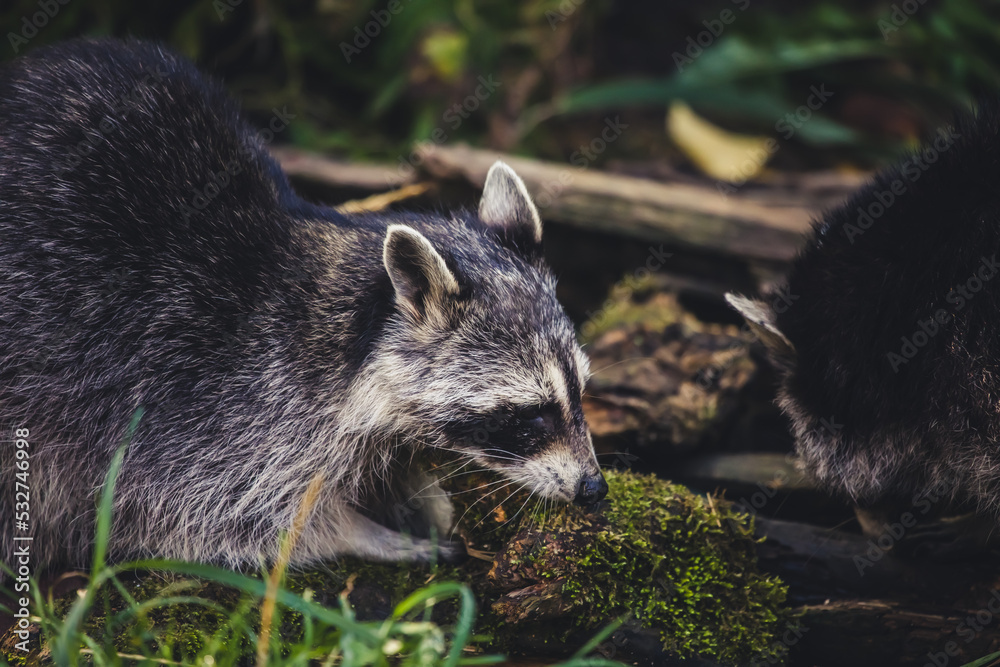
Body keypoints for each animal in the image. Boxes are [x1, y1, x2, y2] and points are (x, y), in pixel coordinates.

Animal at [0, 37, 608, 576]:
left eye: (581, 392)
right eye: (529, 415)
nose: (594, 488)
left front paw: (417, 493)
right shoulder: (195, 408)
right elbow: (195, 516)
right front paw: (361, 531)